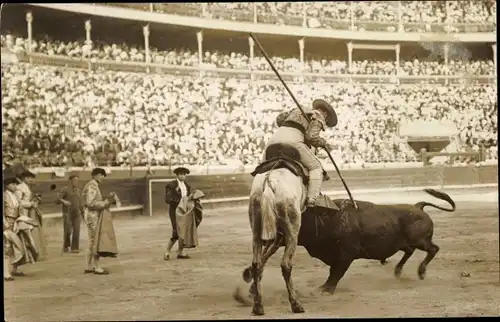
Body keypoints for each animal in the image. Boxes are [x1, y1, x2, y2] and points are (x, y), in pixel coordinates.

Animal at [242, 189, 458, 294]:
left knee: (433, 249)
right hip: (405, 242)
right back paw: (398, 271)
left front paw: (325, 290)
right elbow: (333, 271)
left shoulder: (345, 255)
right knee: (410, 252)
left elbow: (336, 273)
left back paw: (421, 272)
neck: (327, 218)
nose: (274, 233)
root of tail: (418, 206)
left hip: (420, 240)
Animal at [244, 167, 306, 316]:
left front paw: (252, 287)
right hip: (292, 230)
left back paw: (258, 306)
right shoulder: (283, 234)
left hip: (256, 228)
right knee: (286, 265)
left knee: (256, 263)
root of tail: (269, 182)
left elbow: (266, 254)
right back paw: (295, 304)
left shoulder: (276, 234)